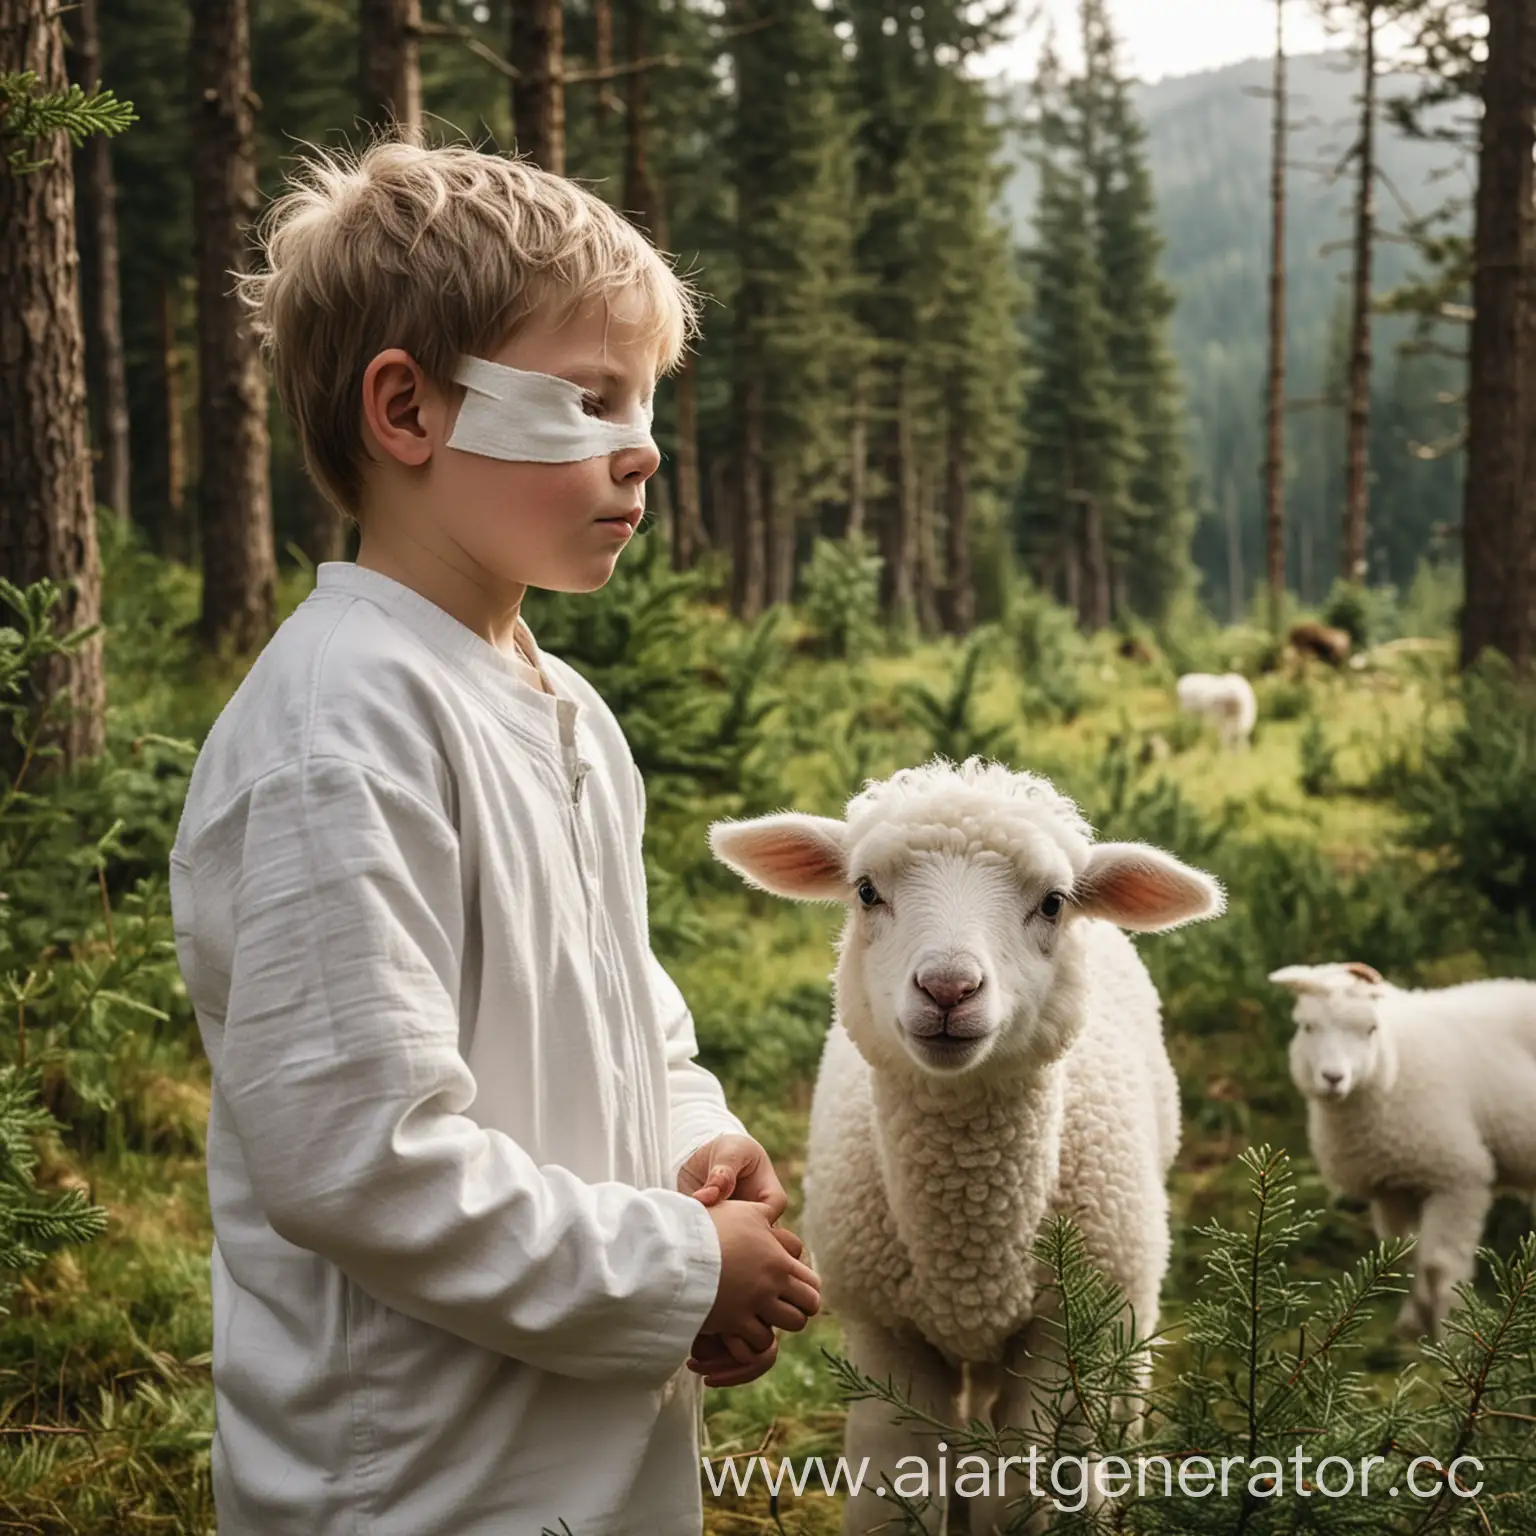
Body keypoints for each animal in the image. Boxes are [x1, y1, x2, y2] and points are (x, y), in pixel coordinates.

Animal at [706, 761, 1222, 1529]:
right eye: (866, 891)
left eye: (1053, 903)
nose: (948, 988)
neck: (971, 1249)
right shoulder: (887, 1334)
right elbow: (894, 1493)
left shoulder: (1059, 1338)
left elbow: (1023, 1500)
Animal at [1271, 964, 1536, 1339]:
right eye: (1308, 1026)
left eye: (1370, 1029)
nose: (1333, 1078)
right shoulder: (1390, 1187)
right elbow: (1406, 1254)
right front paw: (1413, 1327)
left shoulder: (1459, 1177)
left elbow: (1440, 1265)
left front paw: (1451, 1336)